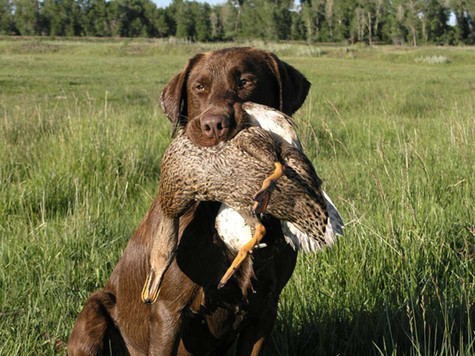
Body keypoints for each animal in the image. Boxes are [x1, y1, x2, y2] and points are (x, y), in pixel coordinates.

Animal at [68, 47, 312, 356]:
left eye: (245, 81)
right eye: (199, 87)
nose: (214, 126)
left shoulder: (265, 309)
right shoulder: (168, 311)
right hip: (95, 309)